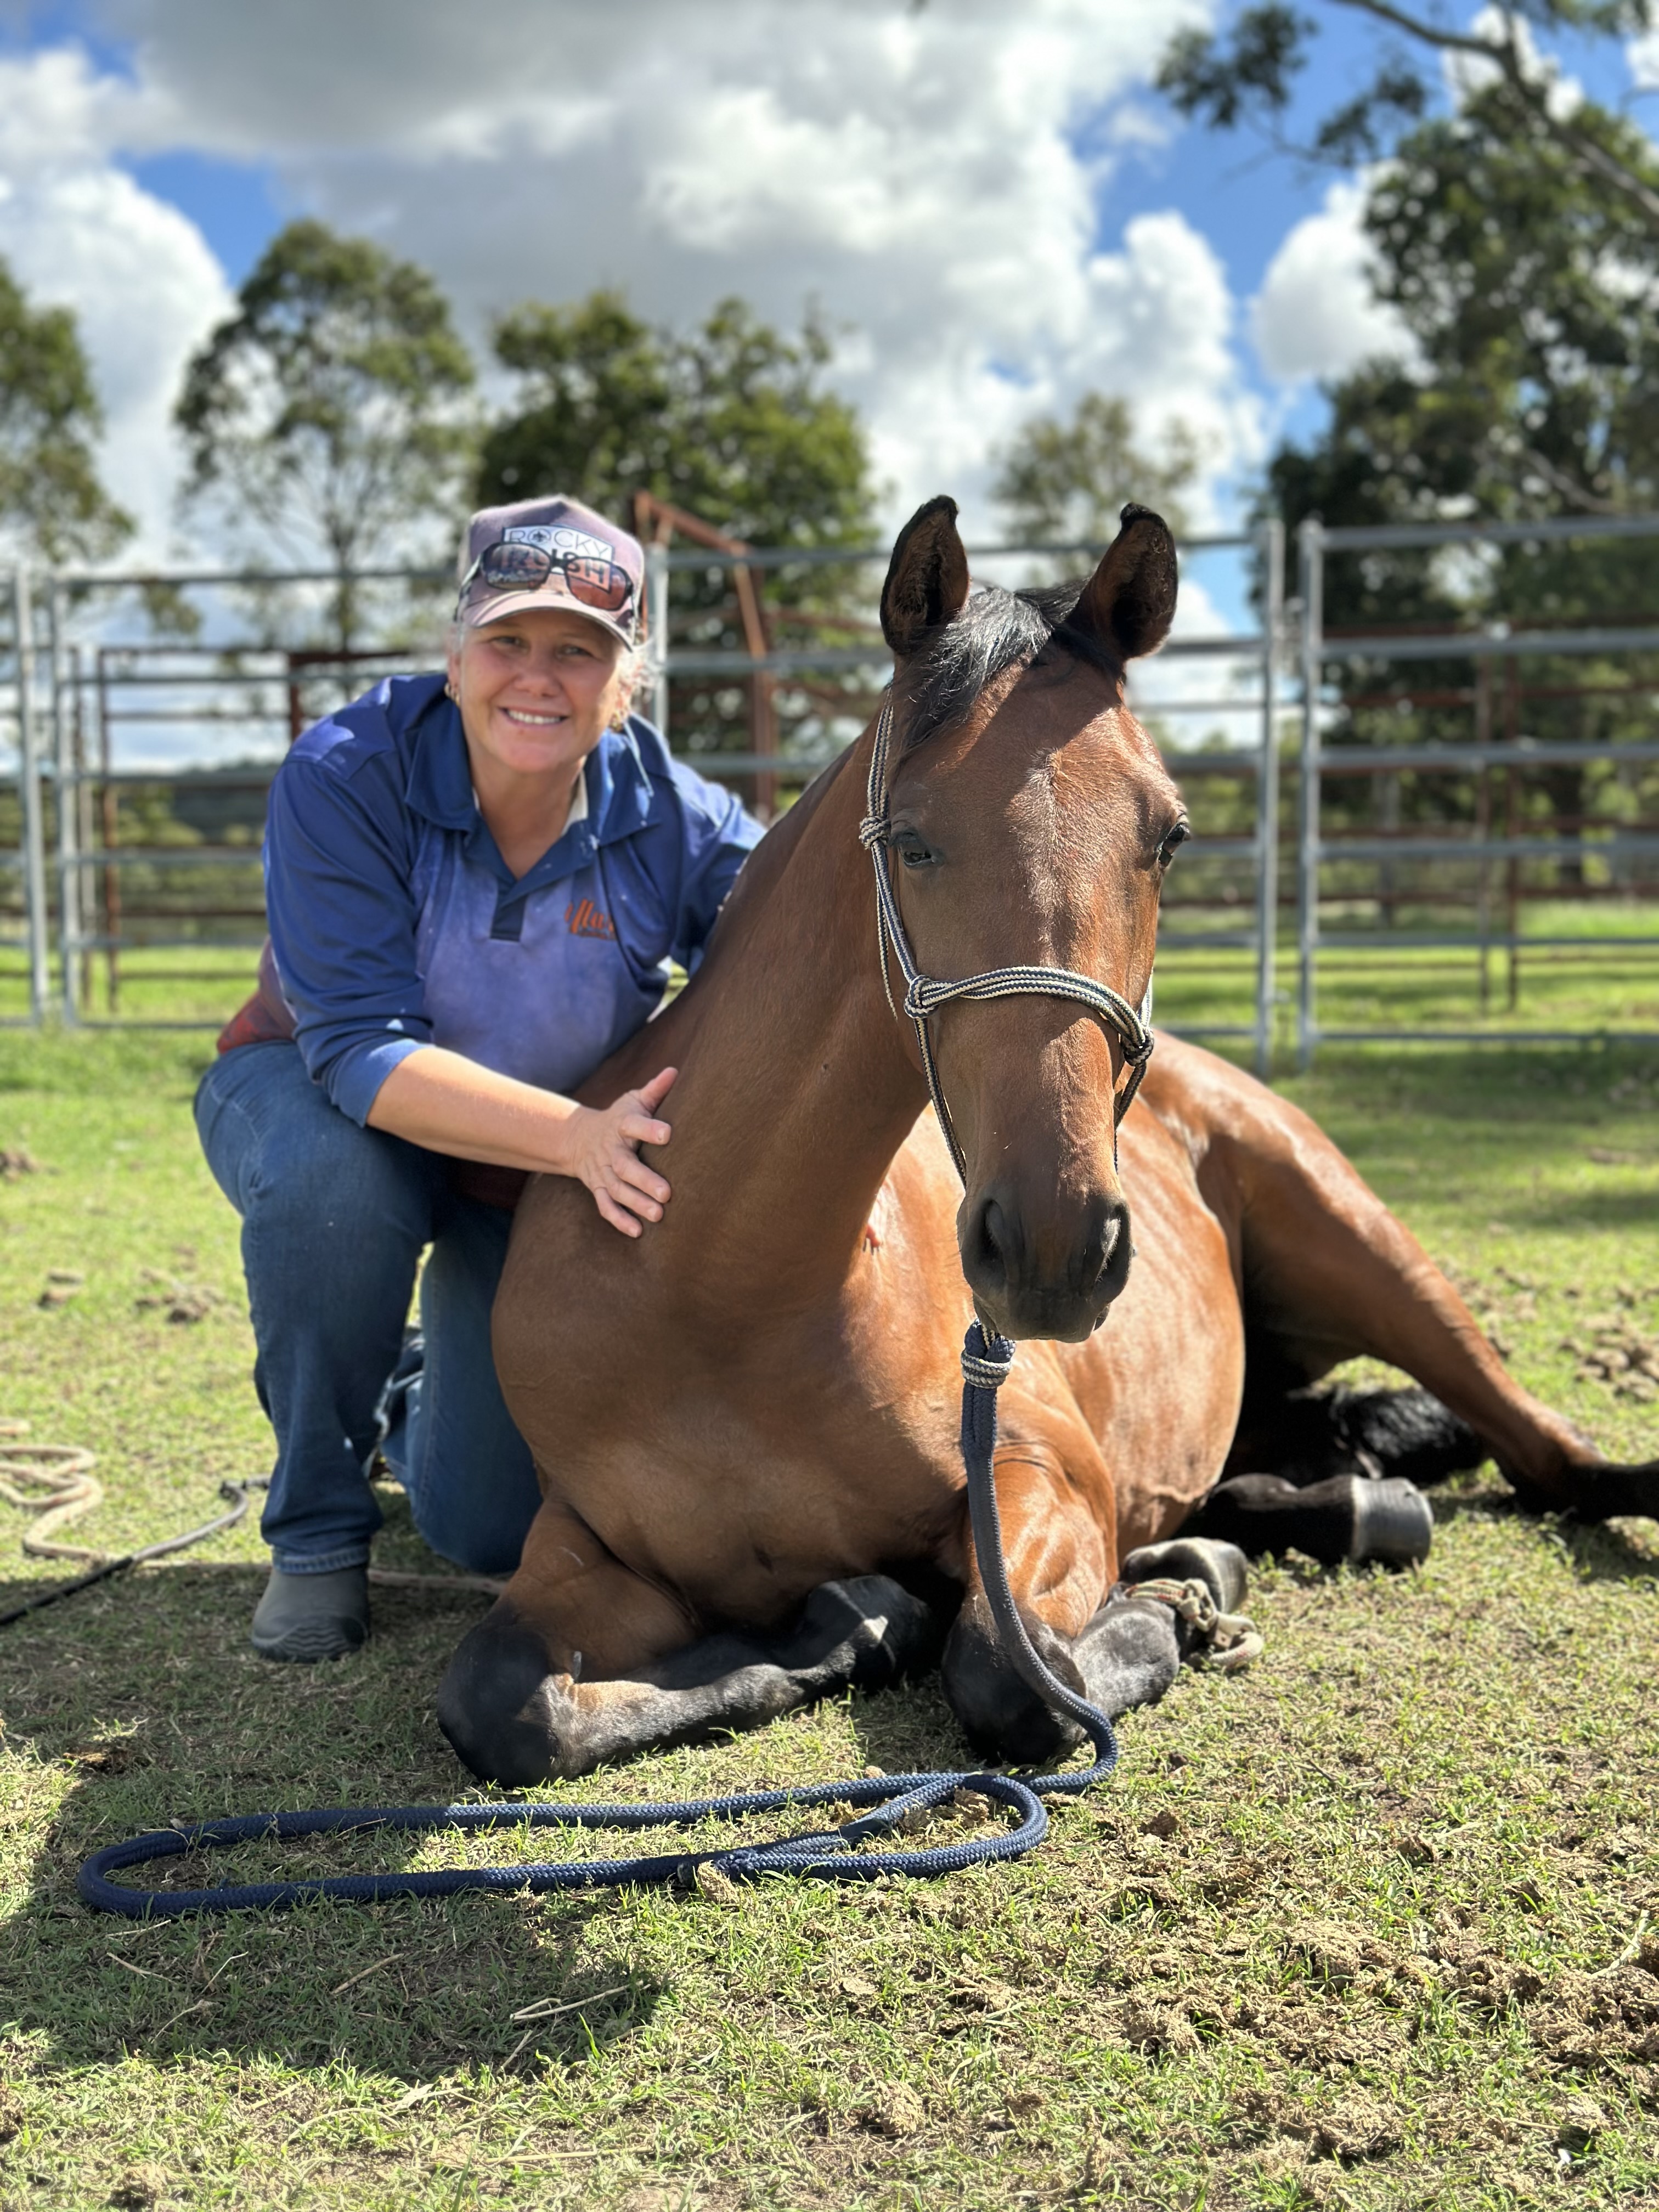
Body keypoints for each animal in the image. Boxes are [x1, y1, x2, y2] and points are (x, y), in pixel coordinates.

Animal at [435, 498, 1659, 1788]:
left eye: (1167, 836)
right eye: (912, 840)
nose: (1054, 1246)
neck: (721, 1295)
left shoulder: (1041, 1477)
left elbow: (1013, 1673)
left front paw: (1159, 1614)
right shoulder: (586, 1544)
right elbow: (504, 1701)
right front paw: (858, 1618)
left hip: (1365, 1245)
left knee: (1548, 1458)